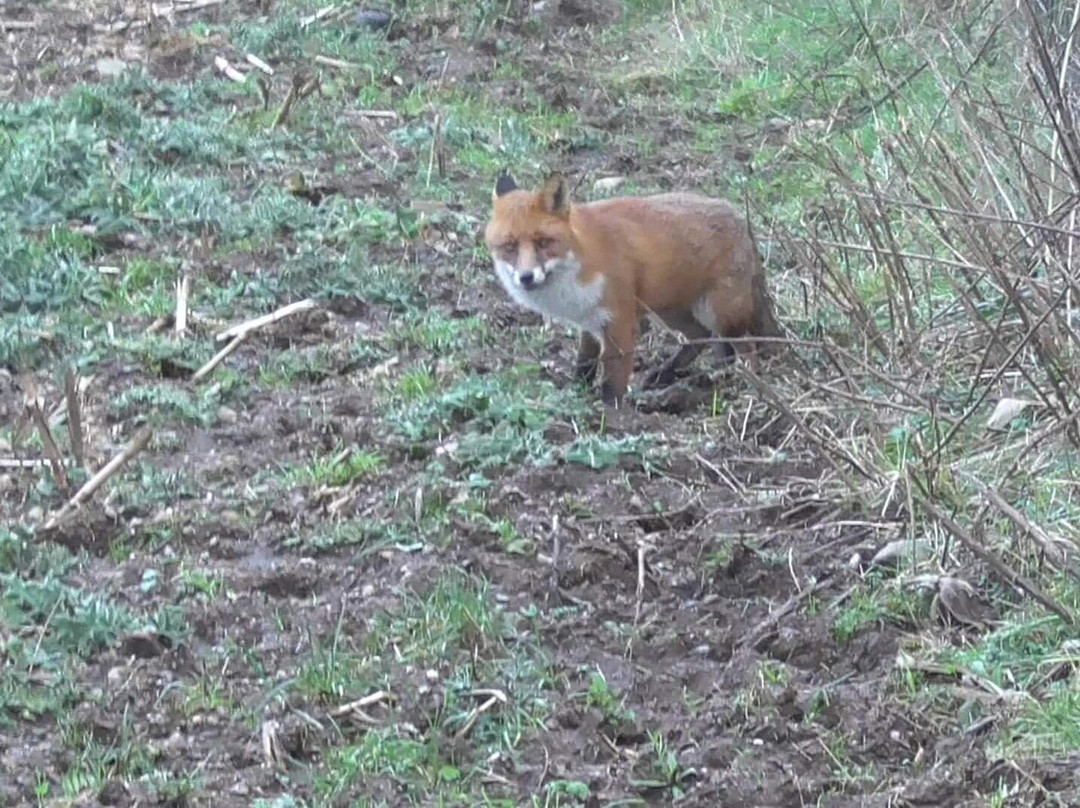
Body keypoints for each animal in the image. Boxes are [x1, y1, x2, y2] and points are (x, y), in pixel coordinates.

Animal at [486, 172, 781, 406]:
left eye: (543, 242)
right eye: (509, 247)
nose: (526, 277)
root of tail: (740, 217)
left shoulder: (620, 319)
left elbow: (613, 378)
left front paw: (611, 413)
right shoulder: (589, 319)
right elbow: (584, 363)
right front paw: (577, 394)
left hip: (720, 314)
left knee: (746, 348)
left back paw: (745, 385)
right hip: (671, 312)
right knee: (701, 338)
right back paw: (671, 374)